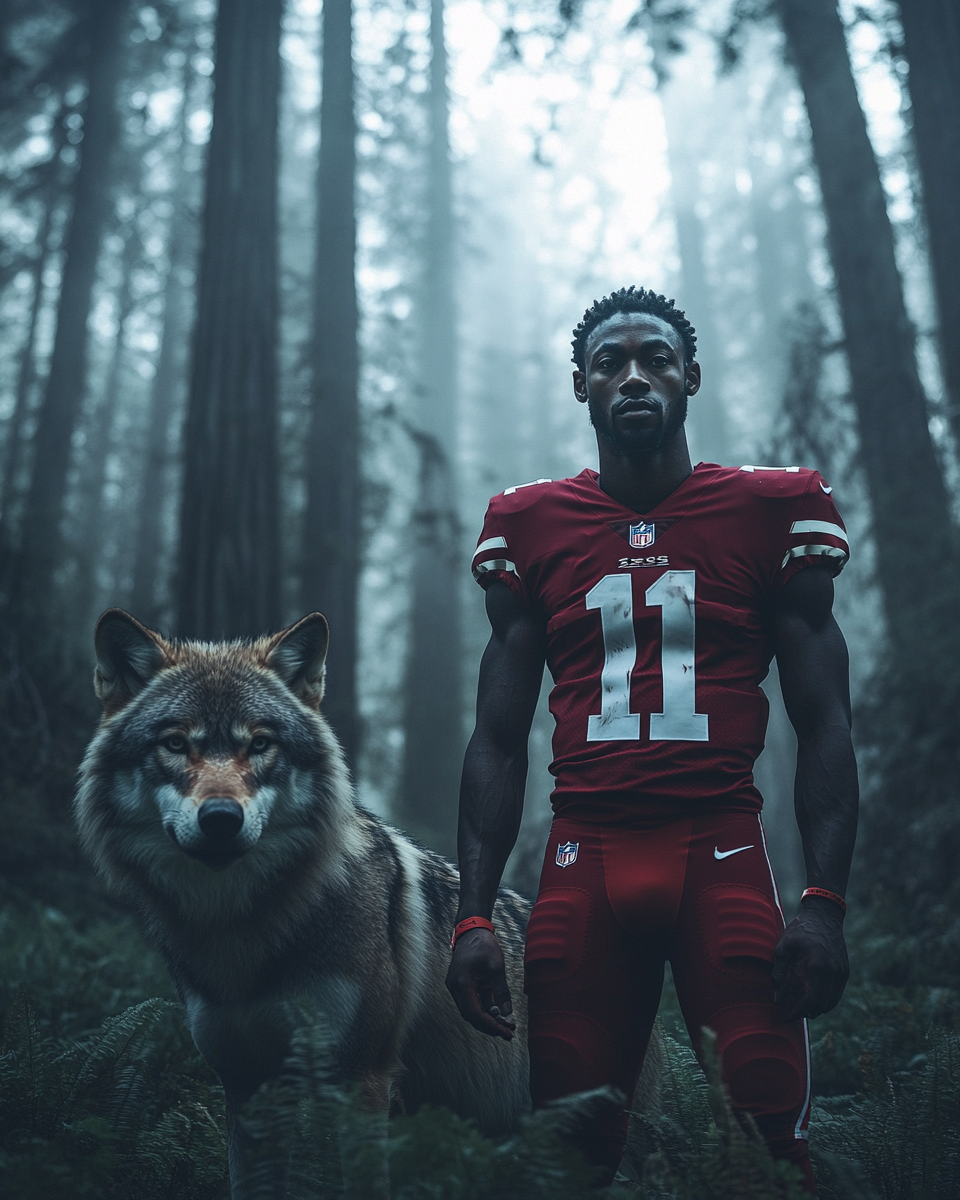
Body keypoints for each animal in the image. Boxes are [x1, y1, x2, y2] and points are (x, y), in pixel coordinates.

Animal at [78, 614, 532, 1195]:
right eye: (176, 744)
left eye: (260, 744)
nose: (220, 819)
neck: (240, 933)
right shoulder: (246, 1084)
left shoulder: (362, 1081)